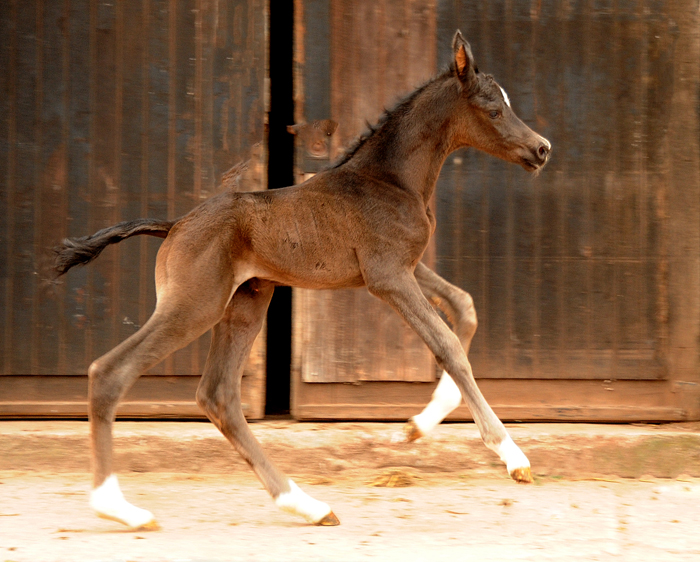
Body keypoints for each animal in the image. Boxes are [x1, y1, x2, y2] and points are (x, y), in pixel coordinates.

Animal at [53, 32, 548, 528]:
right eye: (493, 109)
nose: (542, 149)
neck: (390, 180)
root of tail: (174, 225)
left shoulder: (404, 268)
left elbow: (465, 306)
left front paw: (415, 427)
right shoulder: (388, 277)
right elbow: (447, 345)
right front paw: (511, 456)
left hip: (245, 305)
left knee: (218, 396)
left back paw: (306, 504)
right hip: (194, 306)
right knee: (111, 372)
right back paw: (119, 508)